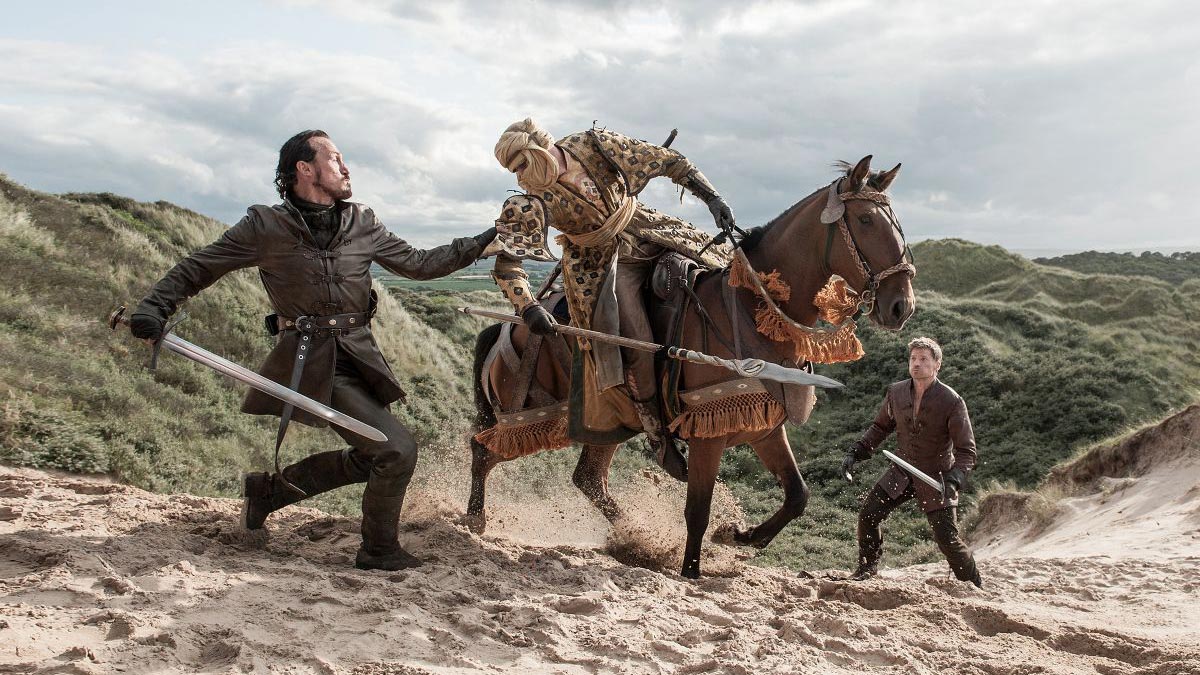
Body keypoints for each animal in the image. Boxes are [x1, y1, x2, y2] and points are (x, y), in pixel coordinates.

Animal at [467, 155, 915, 578]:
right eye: (865, 220)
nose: (901, 306)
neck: (749, 309)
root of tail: (508, 328)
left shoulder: (763, 427)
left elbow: (797, 496)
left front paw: (739, 535)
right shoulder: (708, 430)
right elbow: (698, 510)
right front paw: (692, 569)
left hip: (604, 420)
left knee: (588, 480)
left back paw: (635, 534)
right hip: (525, 417)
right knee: (484, 450)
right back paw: (475, 519)